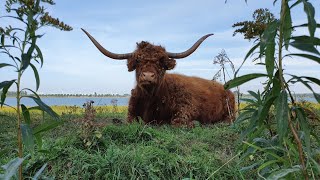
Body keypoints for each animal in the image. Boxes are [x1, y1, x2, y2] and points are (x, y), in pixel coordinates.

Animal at [82, 28, 235, 126]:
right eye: (138, 60)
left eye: (161, 62)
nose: (148, 76)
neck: (149, 100)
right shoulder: (131, 114)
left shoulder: (185, 110)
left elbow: (177, 122)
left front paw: (195, 123)